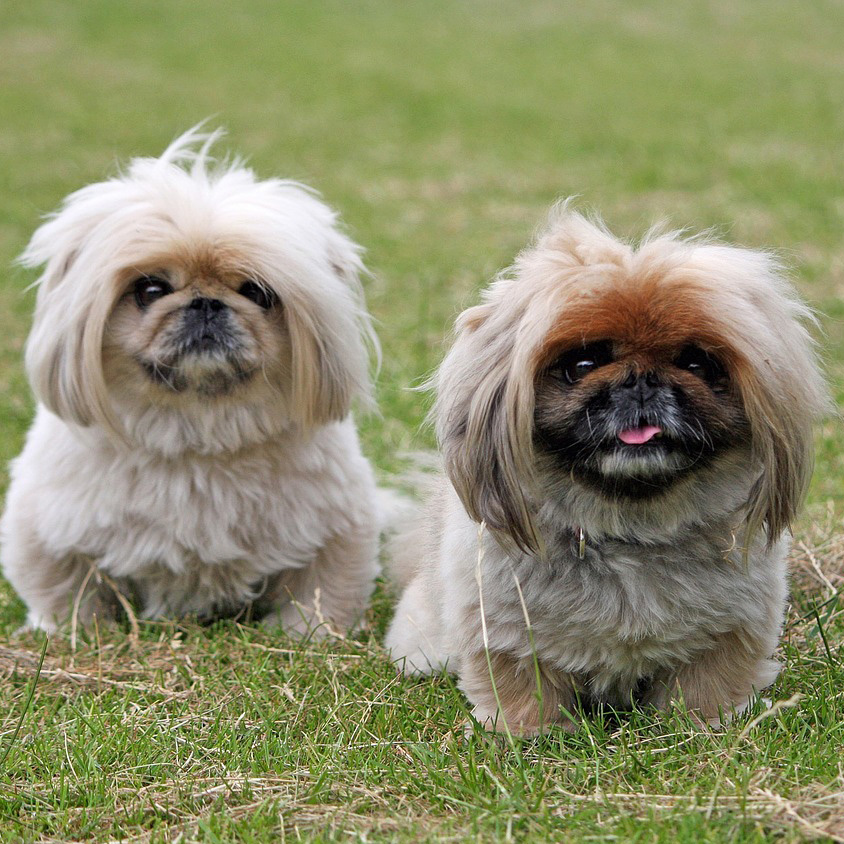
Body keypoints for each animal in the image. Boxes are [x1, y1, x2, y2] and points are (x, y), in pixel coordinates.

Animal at [0, 129, 382, 636]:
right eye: (150, 290)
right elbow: (65, 590)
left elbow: (321, 593)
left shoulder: (338, 530)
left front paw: (308, 636)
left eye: (256, 292)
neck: (196, 433)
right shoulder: (45, 530)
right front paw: (72, 632)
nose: (205, 303)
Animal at [386, 204, 828, 732]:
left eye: (696, 364)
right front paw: (524, 734)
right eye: (581, 364)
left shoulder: (732, 630)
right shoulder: (505, 632)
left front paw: (705, 725)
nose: (641, 381)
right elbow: (521, 689)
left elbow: (708, 685)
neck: (629, 528)